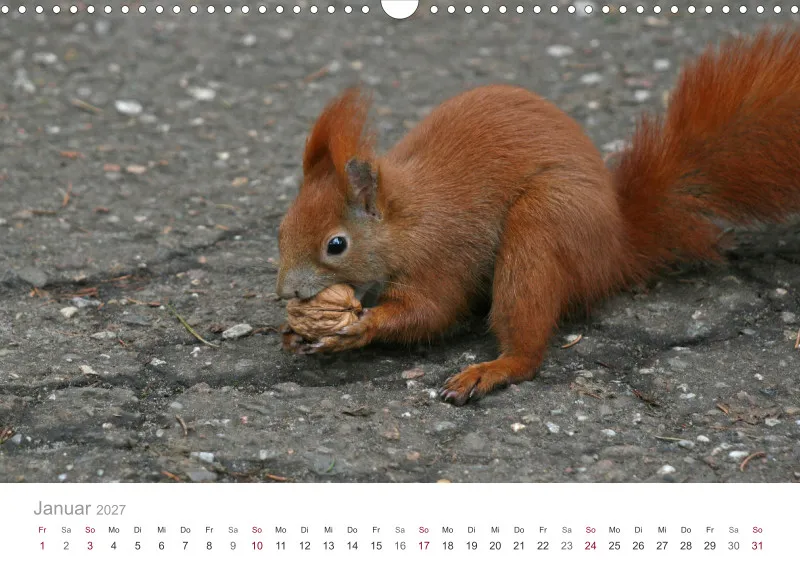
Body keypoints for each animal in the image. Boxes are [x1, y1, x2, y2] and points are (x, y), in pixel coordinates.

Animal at [275, 26, 800, 406]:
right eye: (280, 229)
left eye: (336, 245)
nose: (285, 293)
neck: (406, 220)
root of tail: (616, 246)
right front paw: (296, 332)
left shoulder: (441, 254)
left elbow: (431, 311)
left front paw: (357, 328)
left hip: (544, 224)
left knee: (527, 347)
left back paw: (494, 370)